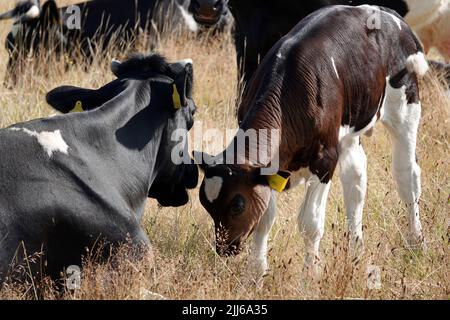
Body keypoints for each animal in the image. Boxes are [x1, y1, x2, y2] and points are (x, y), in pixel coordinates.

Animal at [195, 5, 428, 278]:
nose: (224, 248)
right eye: (206, 204)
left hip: (406, 106)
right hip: (350, 130)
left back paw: (416, 241)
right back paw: (356, 249)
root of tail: (384, 11)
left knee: (407, 176)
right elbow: (264, 218)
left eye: (237, 205)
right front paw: (256, 272)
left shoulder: (325, 159)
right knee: (355, 179)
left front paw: (311, 272)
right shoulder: (267, 171)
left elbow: (310, 222)